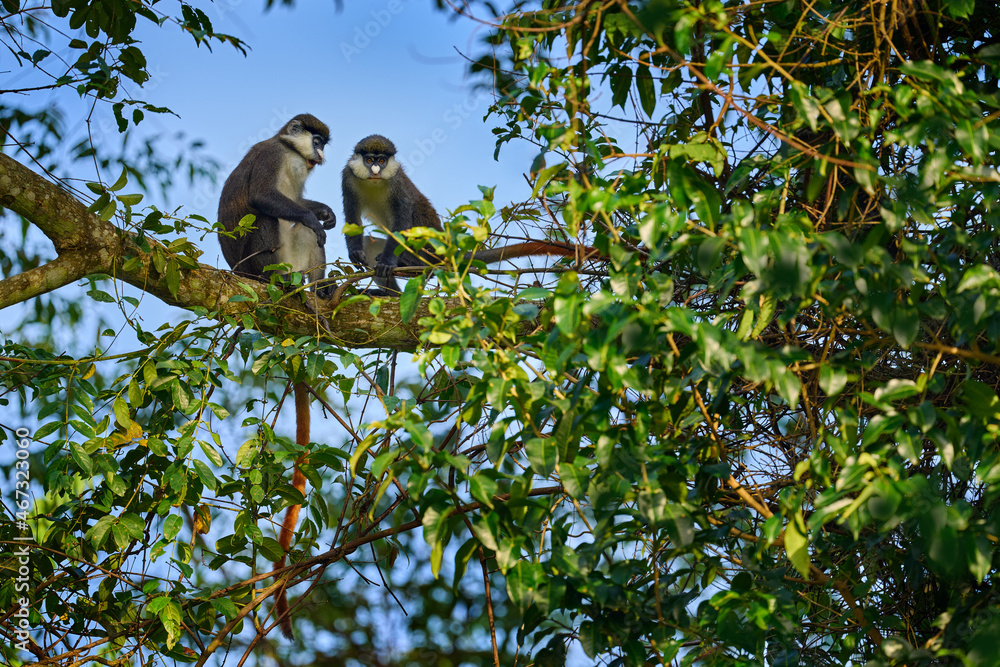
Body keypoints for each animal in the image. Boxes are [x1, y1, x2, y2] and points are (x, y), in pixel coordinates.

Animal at [342, 133, 600, 294]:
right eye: (369, 160)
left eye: (382, 160)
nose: (376, 169)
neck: (375, 182)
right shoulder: (348, 178)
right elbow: (351, 217)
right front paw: (355, 252)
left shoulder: (397, 184)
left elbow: (403, 218)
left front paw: (387, 263)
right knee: (371, 244)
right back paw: (392, 295)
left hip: (428, 248)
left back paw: (411, 264)